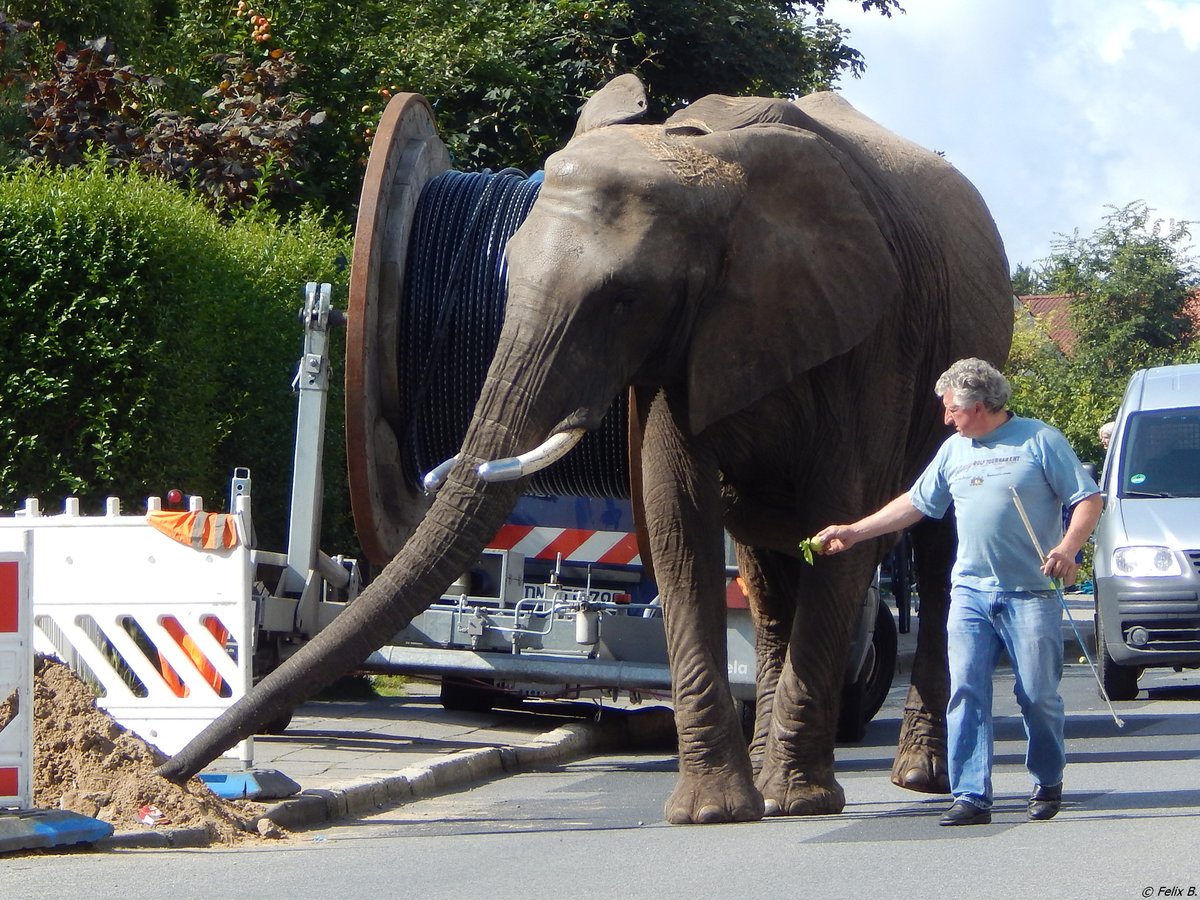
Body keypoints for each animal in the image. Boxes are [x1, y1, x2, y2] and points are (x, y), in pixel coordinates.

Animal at [162, 74, 1012, 830]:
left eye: (623, 298)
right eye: (506, 275)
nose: (171, 775)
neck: (701, 156)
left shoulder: (870, 335)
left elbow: (842, 524)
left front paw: (793, 805)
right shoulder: (681, 351)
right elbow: (678, 518)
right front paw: (713, 813)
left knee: (934, 553)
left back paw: (913, 778)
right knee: (767, 570)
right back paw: (776, 768)